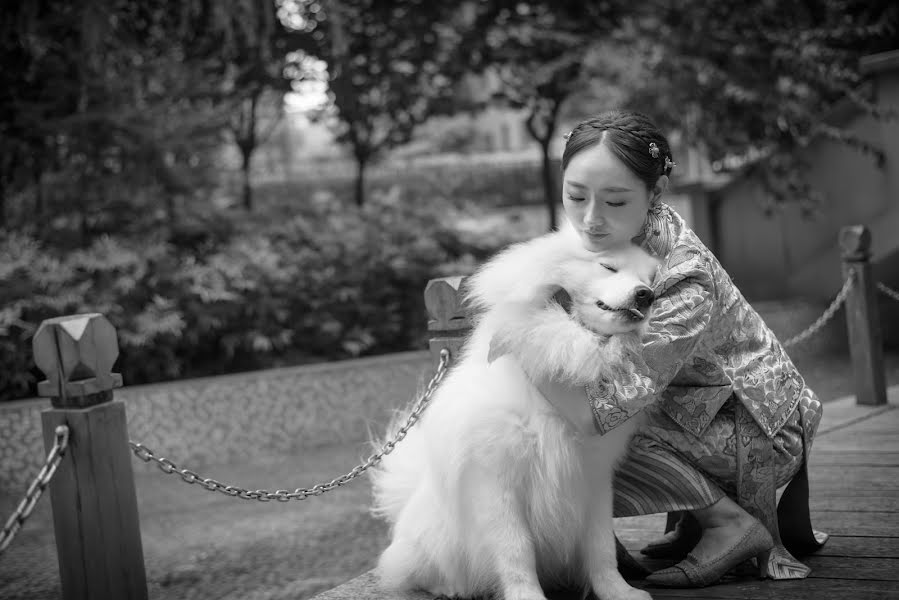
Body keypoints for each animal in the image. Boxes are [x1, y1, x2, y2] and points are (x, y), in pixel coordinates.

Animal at [372, 229, 660, 600]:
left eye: (649, 280)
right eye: (608, 266)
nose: (646, 295)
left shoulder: (593, 480)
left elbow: (601, 549)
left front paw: (618, 592)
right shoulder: (497, 484)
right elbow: (516, 552)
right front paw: (527, 596)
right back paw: (450, 587)